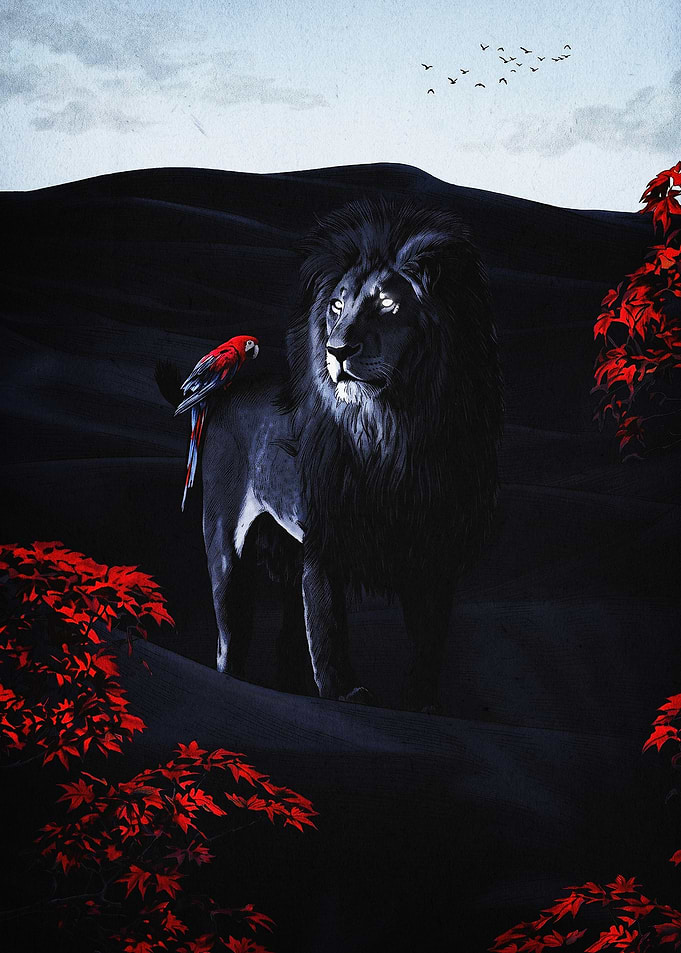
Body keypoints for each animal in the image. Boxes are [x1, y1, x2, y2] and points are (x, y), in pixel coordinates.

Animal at [174, 196, 503, 711]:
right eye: (337, 304)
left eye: (387, 302)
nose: (337, 349)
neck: (394, 430)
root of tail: (225, 393)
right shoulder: (325, 541)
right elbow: (328, 628)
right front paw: (345, 695)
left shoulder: (433, 550)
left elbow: (429, 639)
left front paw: (422, 703)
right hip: (225, 539)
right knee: (231, 631)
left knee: (289, 630)